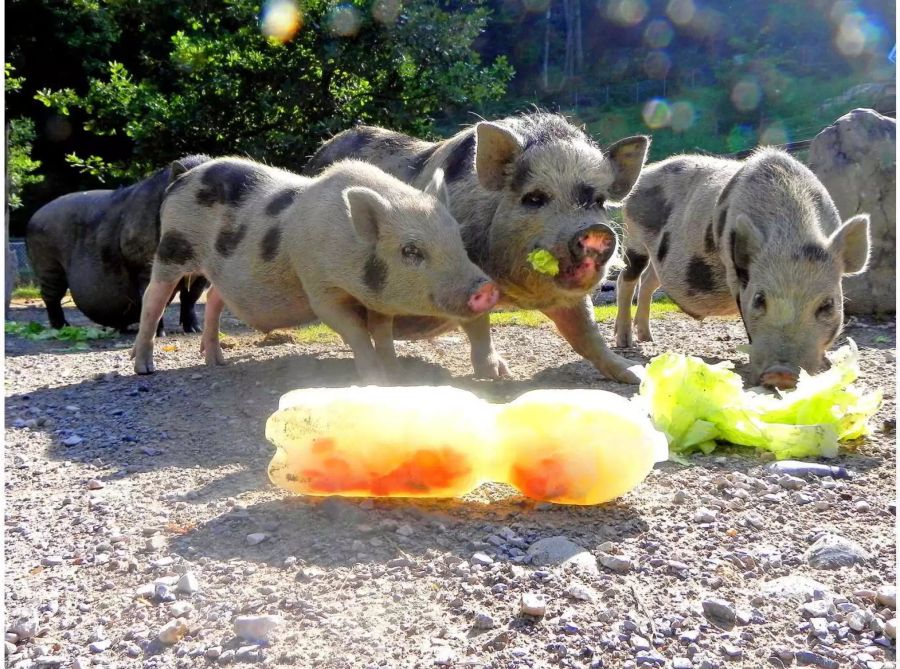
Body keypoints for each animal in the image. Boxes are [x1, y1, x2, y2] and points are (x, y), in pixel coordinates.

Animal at [25, 156, 211, 334]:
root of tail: (35, 216)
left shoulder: (201, 275)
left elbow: (190, 299)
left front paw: (195, 331)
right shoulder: (143, 265)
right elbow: (154, 302)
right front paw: (160, 335)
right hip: (47, 264)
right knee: (51, 297)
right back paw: (63, 327)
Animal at [131, 153, 502, 378]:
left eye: (457, 236)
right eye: (410, 250)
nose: (486, 287)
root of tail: (184, 175)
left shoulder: (376, 297)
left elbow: (382, 333)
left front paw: (396, 372)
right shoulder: (320, 288)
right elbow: (355, 332)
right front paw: (376, 379)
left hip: (219, 271)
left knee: (216, 301)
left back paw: (216, 361)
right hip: (172, 246)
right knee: (152, 298)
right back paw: (145, 368)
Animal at [306, 112, 652, 384]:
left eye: (598, 202)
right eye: (534, 198)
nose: (595, 231)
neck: (516, 294)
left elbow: (587, 333)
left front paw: (635, 375)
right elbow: (478, 324)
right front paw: (499, 374)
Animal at [616, 146, 868, 386]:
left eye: (828, 304)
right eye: (759, 299)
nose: (781, 374)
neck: (790, 235)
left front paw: (827, 365)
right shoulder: (735, 272)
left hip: (659, 260)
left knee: (648, 281)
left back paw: (647, 337)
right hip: (633, 239)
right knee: (626, 279)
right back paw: (625, 342)